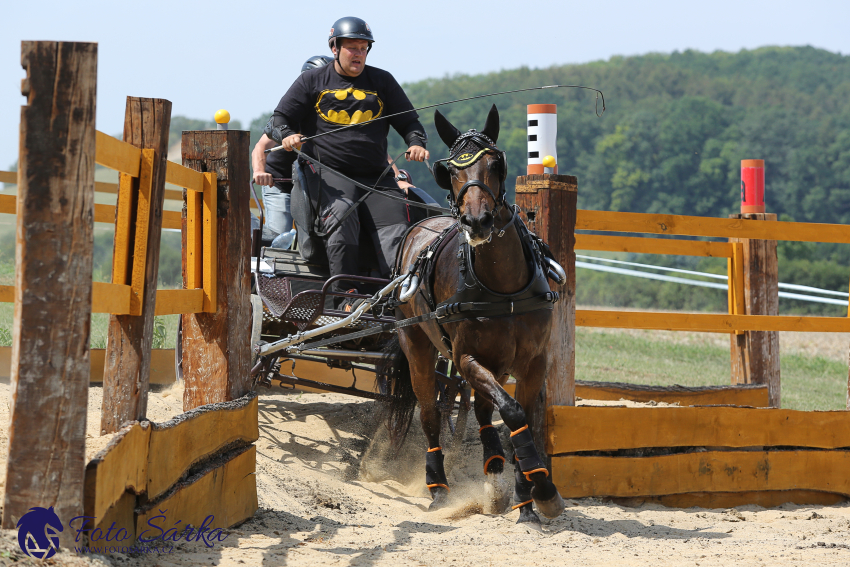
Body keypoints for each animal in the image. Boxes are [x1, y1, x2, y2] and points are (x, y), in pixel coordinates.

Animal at [380, 104, 564, 524]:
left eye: (496, 163)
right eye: (449, 171)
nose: (477, 221)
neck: (504, 288)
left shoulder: (534, 361)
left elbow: (522, 420)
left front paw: (527, 497)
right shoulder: (466, 359)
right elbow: (512, 412)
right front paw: (542, 490)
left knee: (480, 412)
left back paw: (494, 471)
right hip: (418, 346)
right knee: (430, 414)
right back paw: (439, 488)